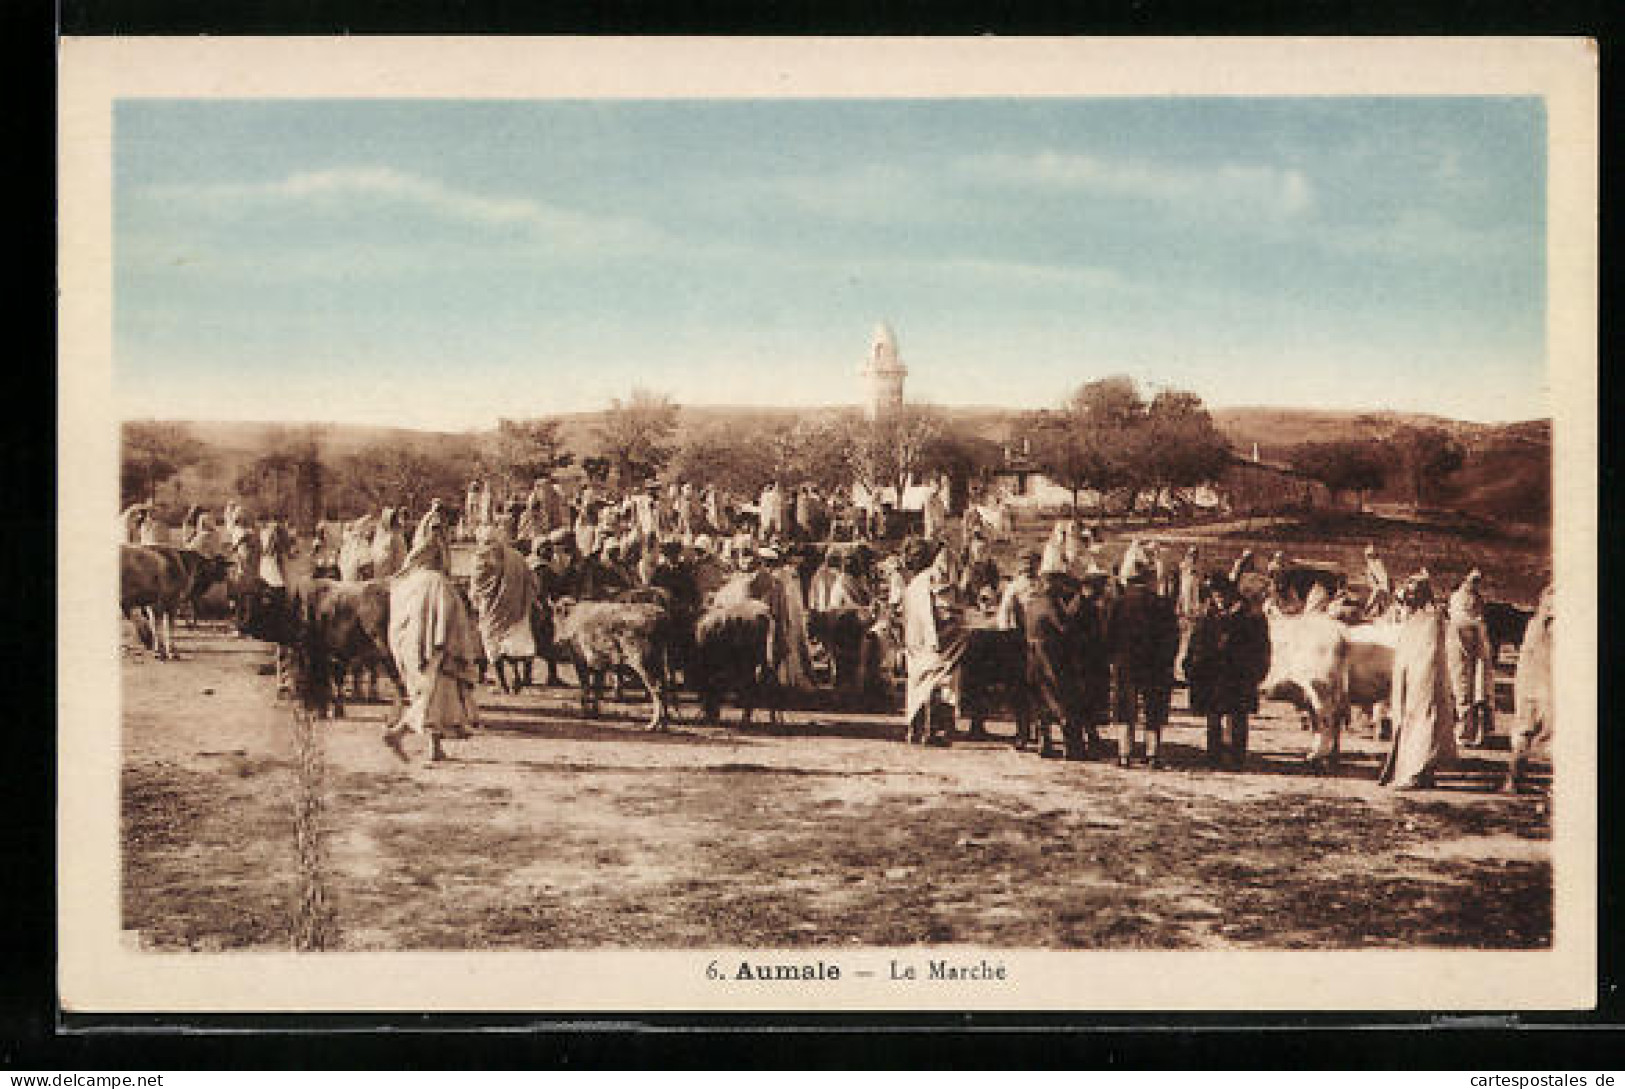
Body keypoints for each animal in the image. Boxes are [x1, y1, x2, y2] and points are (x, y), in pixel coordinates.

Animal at [235, 575, 406, 721]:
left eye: (258, 601)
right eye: (241, 599)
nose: (241, 624)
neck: (296, 605)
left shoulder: (311, 653)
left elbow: (317, 680)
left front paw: (318, 711)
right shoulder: (329, 655)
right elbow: (332, 682)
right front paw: (332, 711)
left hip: (387, 652)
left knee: (399, 682)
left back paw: (395, 718)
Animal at [549, 598, 669, 734]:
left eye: (554, 619)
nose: (556, 641)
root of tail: (660, 614)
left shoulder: (580, 662)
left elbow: (585, 687)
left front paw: (585, 713)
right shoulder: (599, 666)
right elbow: (597, 688)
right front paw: (595, 713)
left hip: (642, 664)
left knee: (656, 690)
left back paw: (651, 725)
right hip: (658, 664)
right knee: (663, 688)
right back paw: (663, 725)